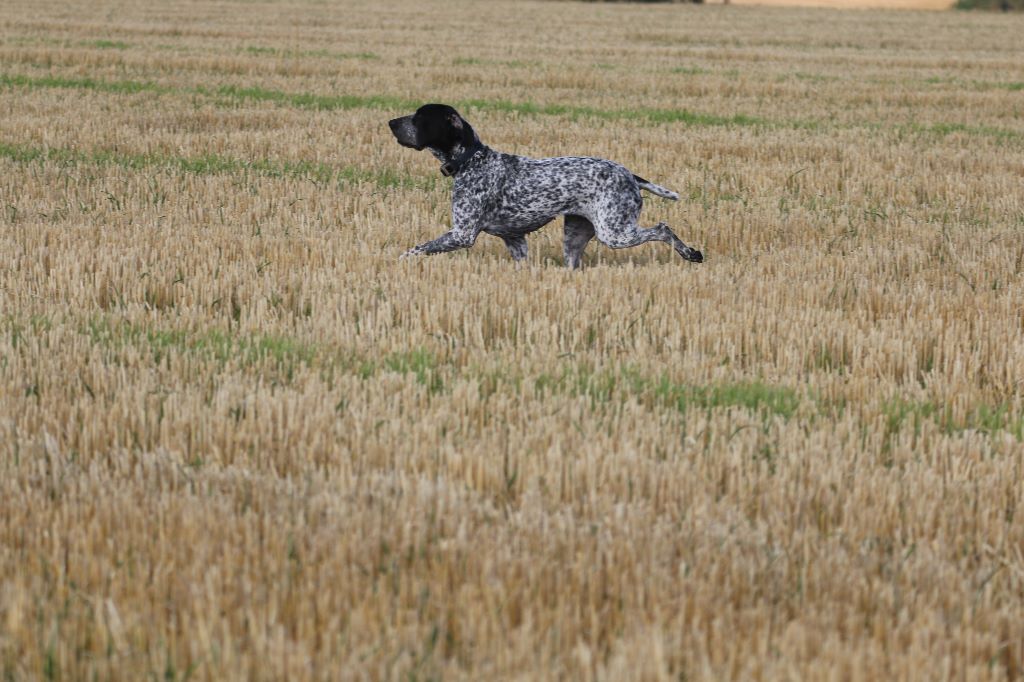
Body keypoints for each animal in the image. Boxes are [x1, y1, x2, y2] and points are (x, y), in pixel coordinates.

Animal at [385, 103, 704, 268]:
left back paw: (691, 254)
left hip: (614, 232)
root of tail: (630, 175)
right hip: (575, 236)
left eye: (419, 117)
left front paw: (397, 261)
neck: (471, 160)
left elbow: (417, 249)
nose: (390, 122)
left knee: (663, 229)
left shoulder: (461, 234)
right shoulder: (515, 240)